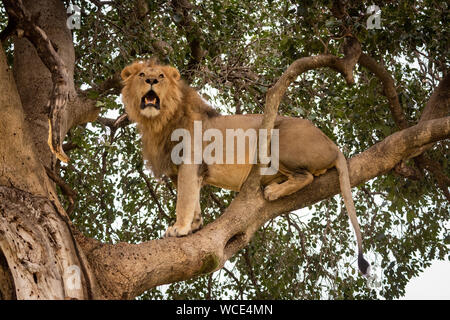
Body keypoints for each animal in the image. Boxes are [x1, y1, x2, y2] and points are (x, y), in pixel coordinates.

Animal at [119, 59, 370, 276]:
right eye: (142, 74)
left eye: (161, 76)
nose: (151, 80)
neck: (158, 122)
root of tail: (332, 144)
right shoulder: (188, 171)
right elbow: (194, 200)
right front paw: (195, 226)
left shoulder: (189, 163)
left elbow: (184, 201)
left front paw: (178, 229)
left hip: (277, 140)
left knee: (305, 176)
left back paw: (273, 191)